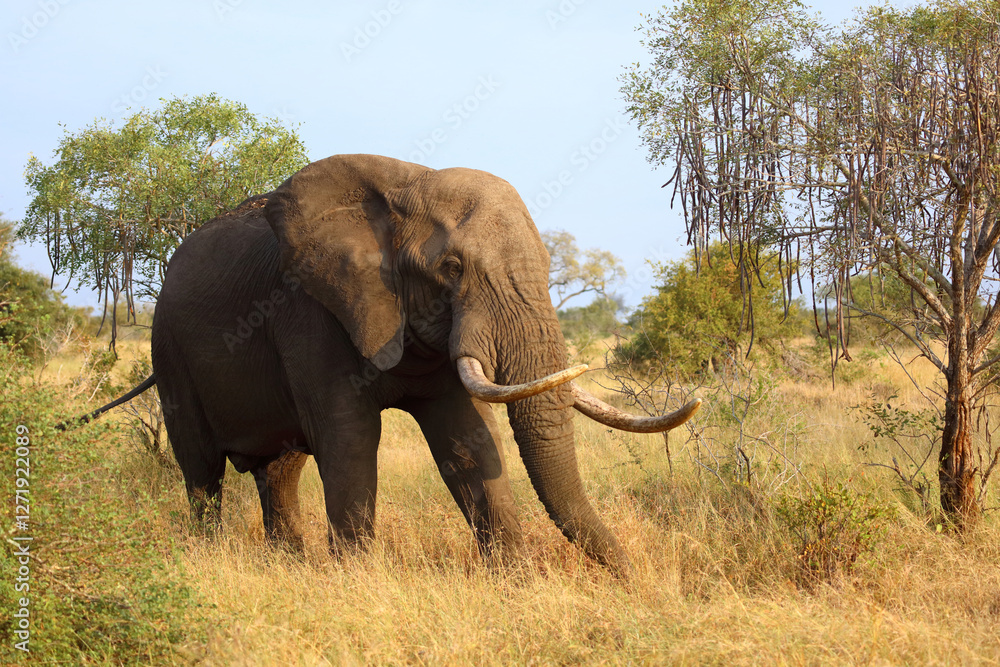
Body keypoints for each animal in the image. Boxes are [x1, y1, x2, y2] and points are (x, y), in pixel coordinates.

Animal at [80, 154, 700, 575]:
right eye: (452, 268)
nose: (632, 578)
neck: (408, 183)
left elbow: (469, 441)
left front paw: (512, 578)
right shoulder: (311, 311)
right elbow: (349, 439)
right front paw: (355, 580)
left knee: (279, 471)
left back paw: (288, 565)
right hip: (170, 349)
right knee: (202, 471)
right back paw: (211, 556)